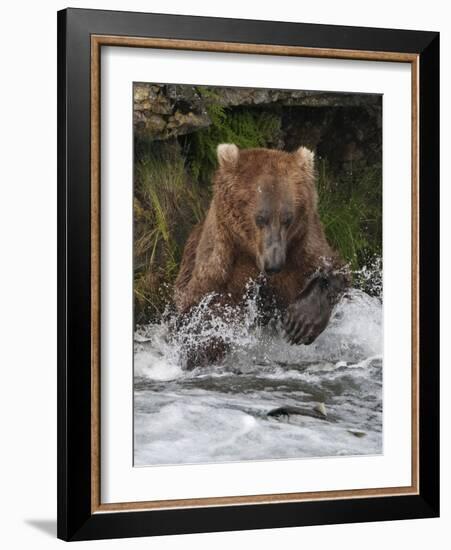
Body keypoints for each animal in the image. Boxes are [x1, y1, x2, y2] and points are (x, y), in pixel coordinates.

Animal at [174, 144, 350, 364]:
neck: (252, 253)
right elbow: (200, 310)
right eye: (260, 218)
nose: (273, 264)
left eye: (287, 218)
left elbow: (333, 269)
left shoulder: (303, 248)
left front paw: (300, 322)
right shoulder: (220, 264)